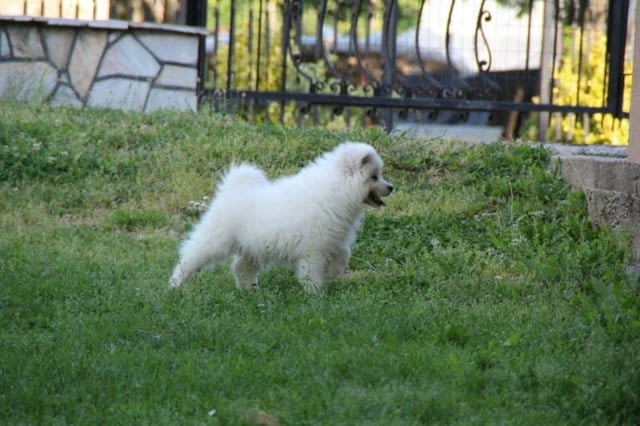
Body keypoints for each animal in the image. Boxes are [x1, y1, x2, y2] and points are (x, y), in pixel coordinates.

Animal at [168, 141, 392, 294]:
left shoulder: (332, 240)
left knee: (241, 267)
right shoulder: (313, 248)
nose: (391, 187)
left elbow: (344, 254)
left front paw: (333, 273)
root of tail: (233, 189)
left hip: (254, 246)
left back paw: (250, 289)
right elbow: (313, 271)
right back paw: (176, 284)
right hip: (216, 239)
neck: (337, 189)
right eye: (374, 176)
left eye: (379, 175)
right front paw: (316, 292)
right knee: (190, 257)